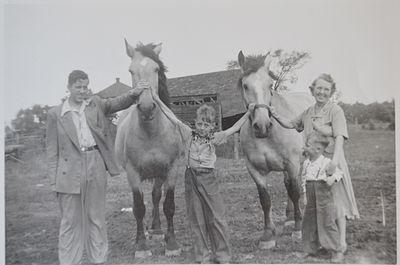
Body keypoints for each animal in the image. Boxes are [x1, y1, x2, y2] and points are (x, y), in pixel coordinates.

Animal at [114, 40, 183, 256]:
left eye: (156, 69)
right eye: (131, 70)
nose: (146, 107)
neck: (152, 133)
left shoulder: (171, 170)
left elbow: (168, 205)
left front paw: (172, 243)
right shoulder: (133, 173)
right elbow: (138, 207)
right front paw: (142, 246)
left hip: (159, 175)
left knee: (155, 196)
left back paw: (158, 229)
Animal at [236, 50, 314, 249]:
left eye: (269, 85)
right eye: (245, 86)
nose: (262, 125)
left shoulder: (293, 164)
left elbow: (295, 192)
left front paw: (298, 229)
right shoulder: (254, 170)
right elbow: (265, 199)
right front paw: (267, 235)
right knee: (288, 184)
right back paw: (288, 219)